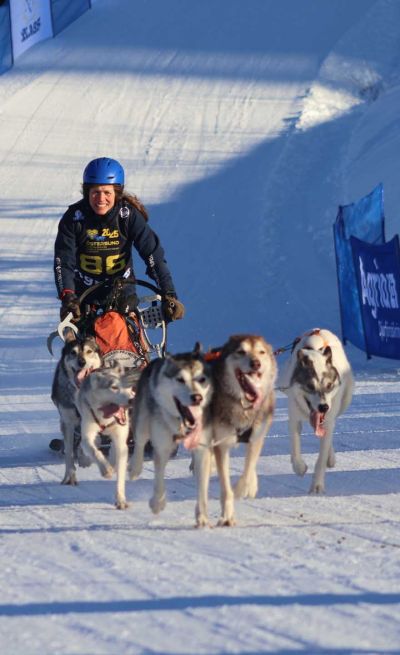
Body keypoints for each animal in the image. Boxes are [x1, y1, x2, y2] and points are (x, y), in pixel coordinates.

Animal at [51, 336, 103, 486]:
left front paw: (85, 459)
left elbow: (89, 441)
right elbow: (69, 452)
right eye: (73, 352)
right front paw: (70, 476)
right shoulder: (67, 422)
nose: (82, 362)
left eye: (89, 351)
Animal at [77, 363, 140, 509]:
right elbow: (95, 452)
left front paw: (121, 499)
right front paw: (105, 470)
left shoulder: (121, 442)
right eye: (114, 387)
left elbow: (120, 475)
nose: (132, 399)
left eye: (128, 387)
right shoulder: (87, 436)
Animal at [128, 345, 213, 518]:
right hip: (141, 421)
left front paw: (202, 515)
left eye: (201, 379)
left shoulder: (202, 447)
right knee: (139, 442)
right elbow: (159, 475)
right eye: (180, 379)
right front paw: (157, 503)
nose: (197, 397)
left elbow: (202, 481)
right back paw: (135, 468)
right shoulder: (162, 446)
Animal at [192, 334, 277, 527]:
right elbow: (226, 488)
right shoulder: (221, 445)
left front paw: (245, 488)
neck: (244, 405)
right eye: (241, 351)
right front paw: (227, 516)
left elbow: (248, 469)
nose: (256, 363)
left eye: (261, 352)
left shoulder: (256, 437)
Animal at [279, 328, 354, 493]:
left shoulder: (328, 419)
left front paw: (317, 486)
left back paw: (330, 458)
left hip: (344, 401)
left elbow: (321, 458)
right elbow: (295, 446)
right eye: (310, 386)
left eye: (329, 385)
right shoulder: (294, 418)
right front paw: (299, 467)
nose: (323, 407)